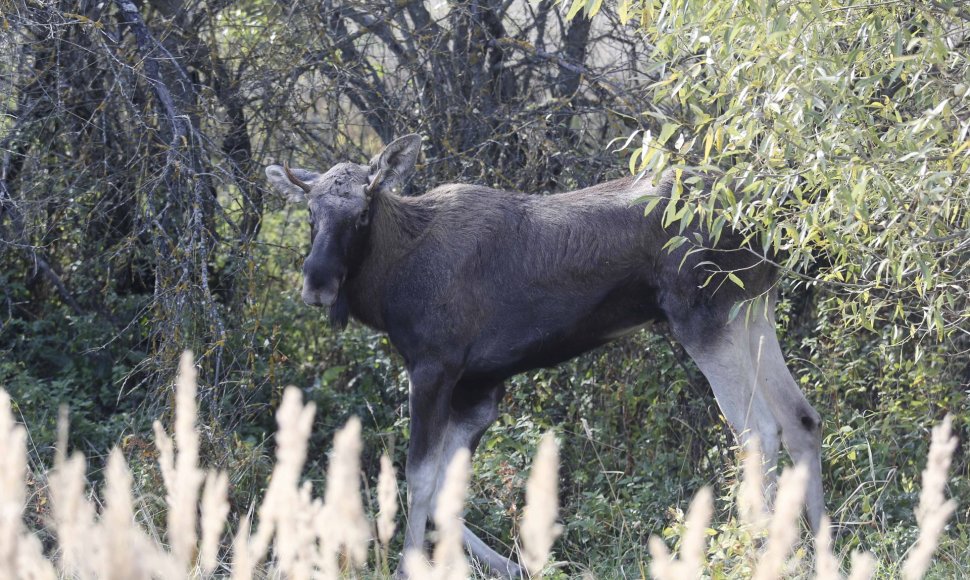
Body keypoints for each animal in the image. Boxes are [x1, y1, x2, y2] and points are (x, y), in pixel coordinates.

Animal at [266, 136, 824, 576]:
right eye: (310, 213)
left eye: (362, 212)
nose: (317, 283)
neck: (389, 282)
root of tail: (770, 213)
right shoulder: (480, 388)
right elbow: (448, 489)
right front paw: (509, 564)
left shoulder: (433, 367)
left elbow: (419, 476)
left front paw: (410, 566)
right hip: (754, 311)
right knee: (801, 418)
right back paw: (818, 551)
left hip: (705, 318)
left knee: (758, 430)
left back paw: (759, 552)